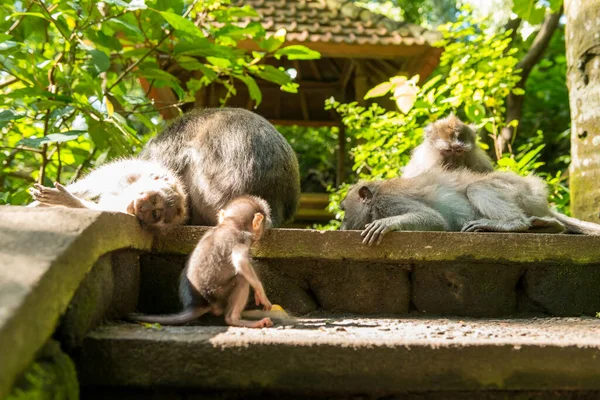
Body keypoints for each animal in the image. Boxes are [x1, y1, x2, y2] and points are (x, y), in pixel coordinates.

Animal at [29, 159, 189, 231]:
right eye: (154, 199)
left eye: (154, 214)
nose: (142, 208)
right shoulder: (133, 173)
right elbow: (97, 181)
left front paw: (65, 200)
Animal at [130, 195, 276, 328]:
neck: (230, 223)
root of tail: (199, 304)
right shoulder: (243, 238)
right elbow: (241, 261)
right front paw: (261, 294)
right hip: (219, 295)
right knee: (241, 278)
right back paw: (236, 320)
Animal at [340, 167, 600, 245]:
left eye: (343, 209)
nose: (341, 226)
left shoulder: (390, 201)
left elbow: (434, 220)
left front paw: (386, 224)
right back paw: (546, 226)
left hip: (520, 192)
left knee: (476, 188)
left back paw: (510, 225)